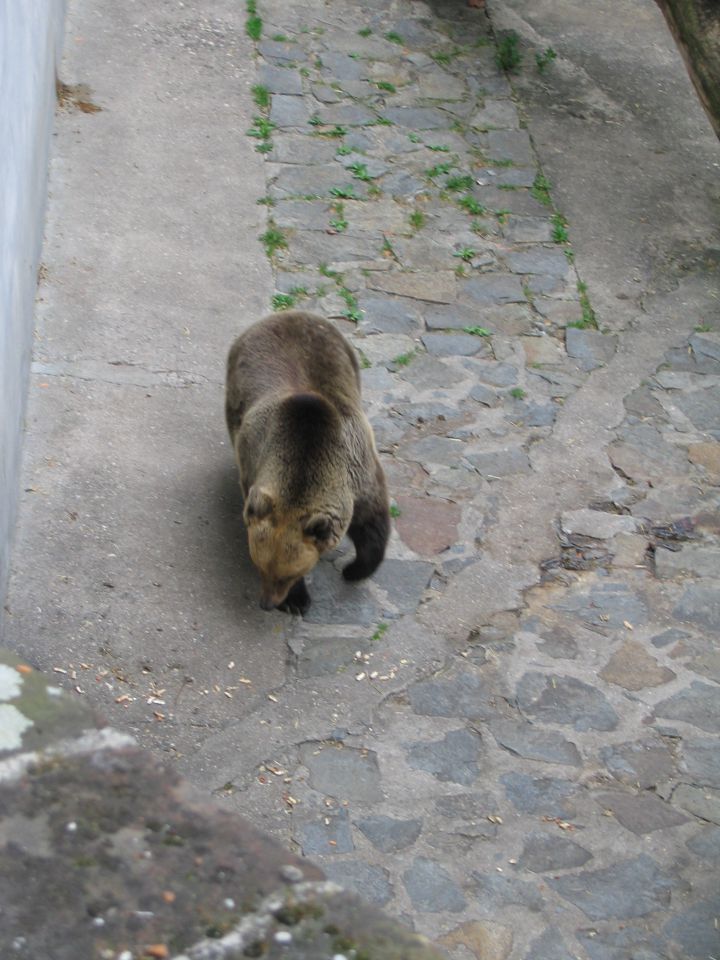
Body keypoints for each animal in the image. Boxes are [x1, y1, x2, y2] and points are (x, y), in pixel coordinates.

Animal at [228, 316, 390, 616]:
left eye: (287, 575)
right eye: (260, 567)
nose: (267, 603)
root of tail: (285, 314)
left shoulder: (360, 475)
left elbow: (373, 525)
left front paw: (354, 570)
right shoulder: (253, 462)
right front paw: (297, 600)